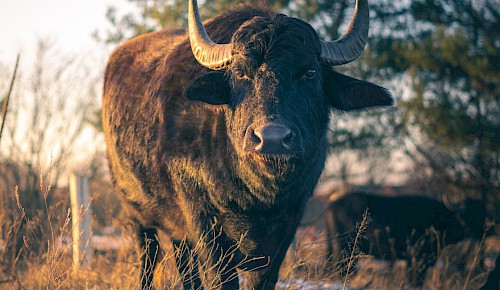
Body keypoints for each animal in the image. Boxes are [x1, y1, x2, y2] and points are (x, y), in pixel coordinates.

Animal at [102, 0, 394, 288]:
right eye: (240, 73)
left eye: (310, 72)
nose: (273, 139)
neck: (257, 197)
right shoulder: (205, 226)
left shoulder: (287, 227)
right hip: (136, 216)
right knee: (148, 259)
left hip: (177, 234)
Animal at [324, 191, 492, 286]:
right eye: (472, 215)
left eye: (483, 212)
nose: (489, 228)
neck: (440, 220)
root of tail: (332, 206)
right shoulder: (418, 260)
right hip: (345, 251)